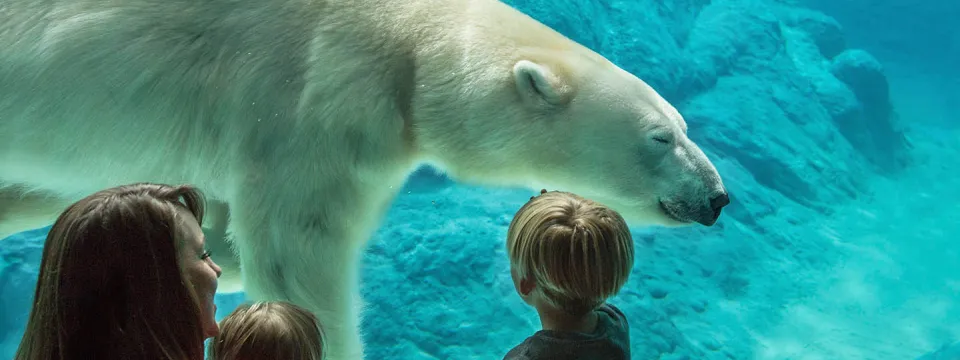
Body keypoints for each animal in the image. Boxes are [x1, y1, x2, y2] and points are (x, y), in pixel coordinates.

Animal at [0, 0, 728, 356]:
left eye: (683, 124)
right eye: (660, 137)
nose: (718, 197)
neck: (408, 34)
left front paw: (216, 240)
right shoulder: (314, 89)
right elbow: (296, 250)